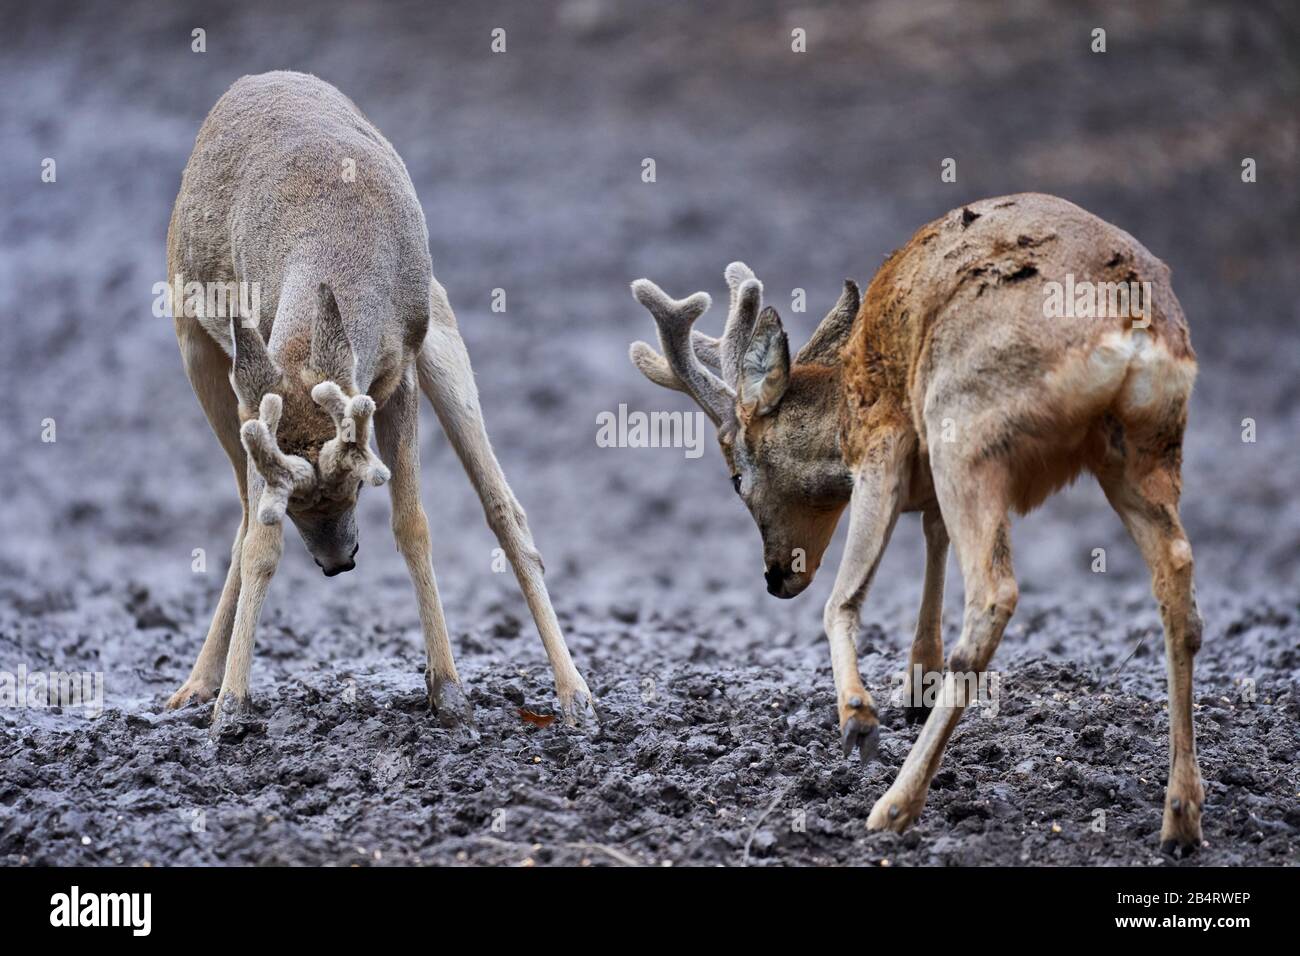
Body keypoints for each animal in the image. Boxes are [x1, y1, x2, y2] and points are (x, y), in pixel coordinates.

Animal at [165, 72, 595, 733]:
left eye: (351, 487)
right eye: (296, 507)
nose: (338, 562)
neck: (337, 235)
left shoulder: (398, 375)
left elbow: (413, 523)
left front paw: (449, 691)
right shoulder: (256, 396)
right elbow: (261, 536)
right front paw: (231, 705)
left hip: (442, 335)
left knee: (504, 505)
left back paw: (575, 692)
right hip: (197, 346)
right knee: (240, 517)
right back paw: (196, 685)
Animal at [624, 195, 1201, 853]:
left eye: (736, 479)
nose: (775, 576)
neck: (843, 407)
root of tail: (1130, 322)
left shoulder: (882, 443)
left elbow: (843, 600)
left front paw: (859, 718)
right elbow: (933, 535)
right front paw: (915, 682)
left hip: (968, 427)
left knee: (995, 593)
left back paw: (894, 805)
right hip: (1144, 446)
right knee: (1178, 582)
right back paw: (1181, 818)